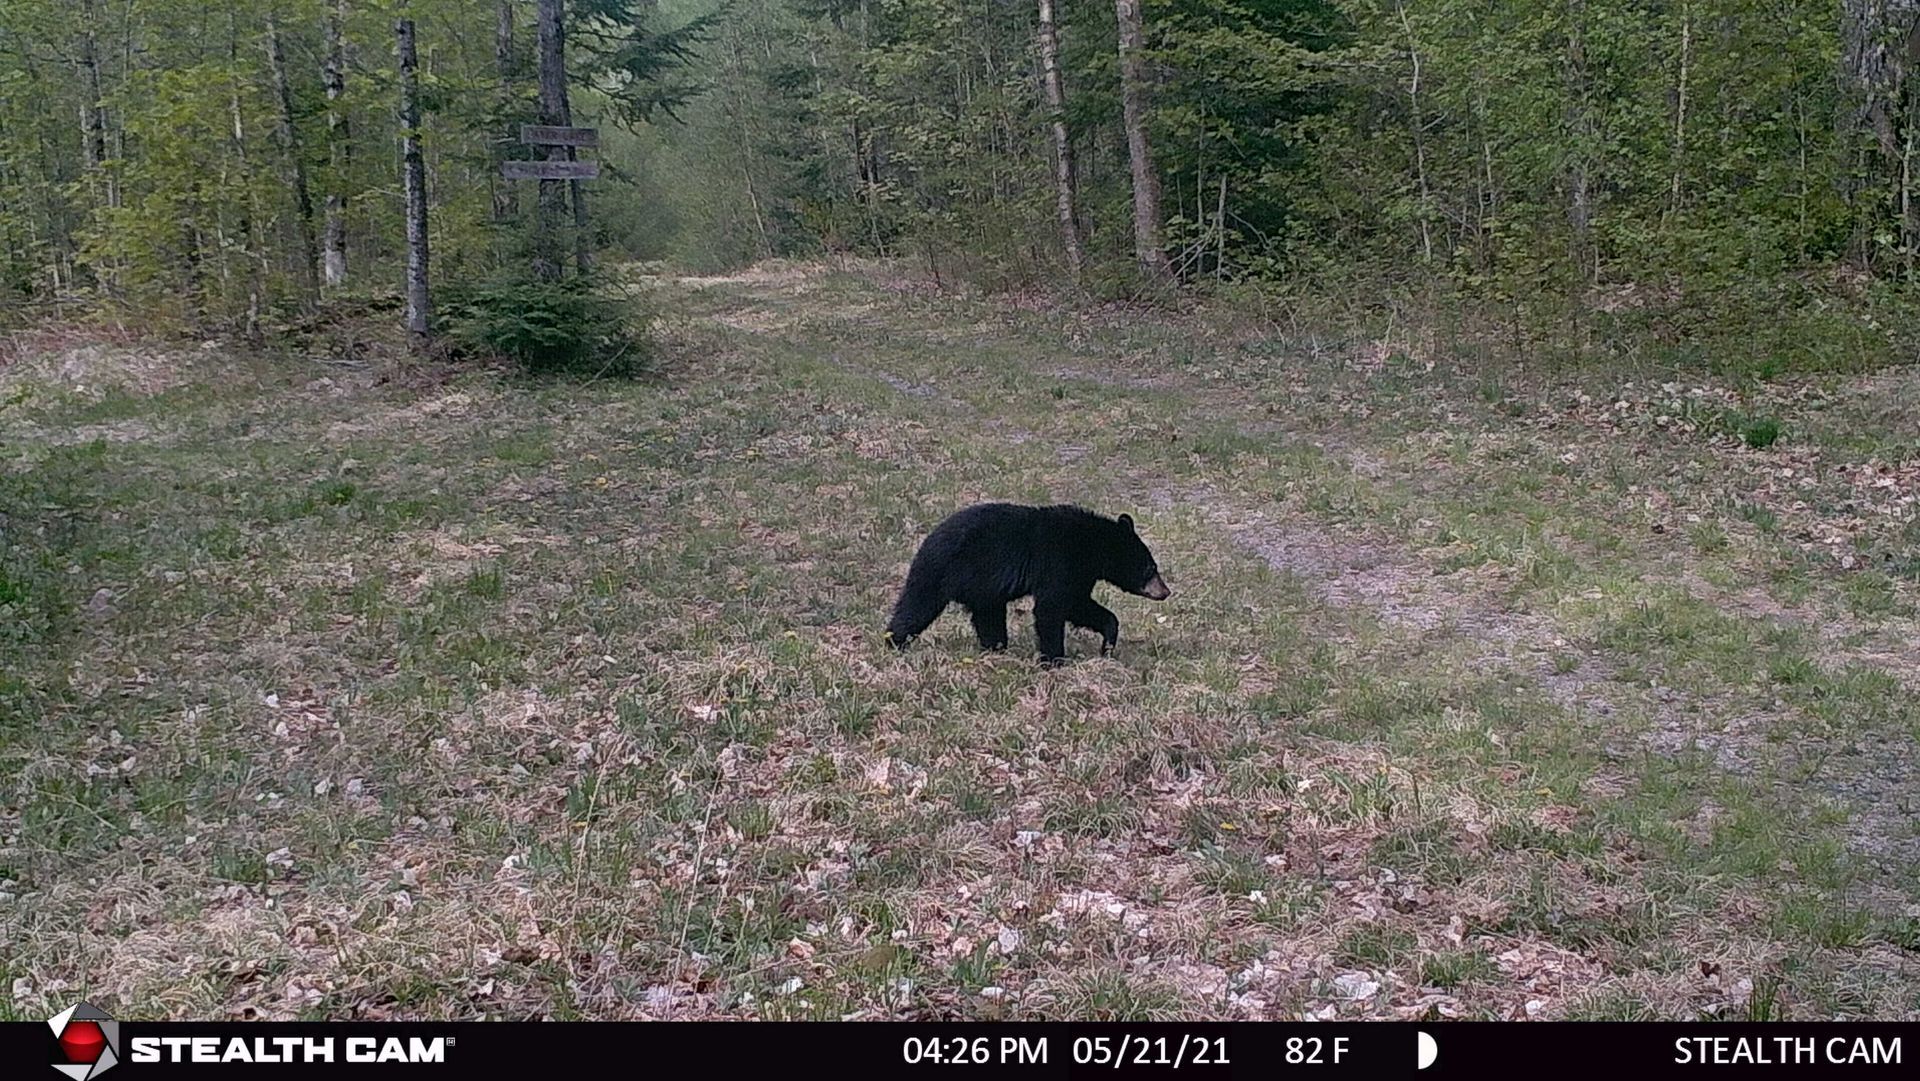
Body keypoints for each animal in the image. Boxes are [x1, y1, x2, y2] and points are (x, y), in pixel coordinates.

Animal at [885, 503, 1171, 665]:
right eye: (1151, 568)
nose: (1166, 591)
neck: (1090, 546)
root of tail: (926, 541)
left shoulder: (1080, 574)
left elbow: (1079, 605)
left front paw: (1108, 645)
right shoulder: (1058, 562)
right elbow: (1052, 608)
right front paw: (1054, 660)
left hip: (983, 589)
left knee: (988, 618)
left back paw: (996, 649)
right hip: (939, 572)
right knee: (917, 607)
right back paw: (894, 642)